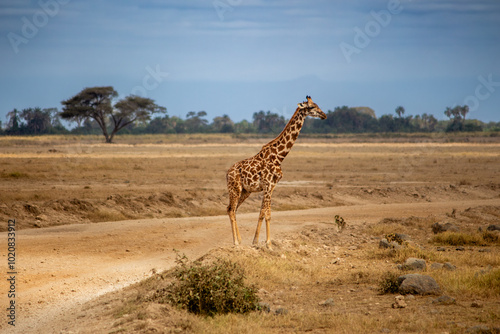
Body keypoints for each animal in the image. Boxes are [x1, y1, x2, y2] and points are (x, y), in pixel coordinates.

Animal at [227, 95, 328, 247]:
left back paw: (239, 240)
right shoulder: (268, 185)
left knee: (232, 209)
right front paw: (268, 243)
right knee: (232, 210)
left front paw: (256, 241)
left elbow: (264, 212)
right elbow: (267, 214)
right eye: (311, 107)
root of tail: (227, 173)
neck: (279, 157)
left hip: (246, 191)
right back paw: (236, 243)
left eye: (317, 104)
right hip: (235, 189)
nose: (324, 115)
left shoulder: (272, 186)